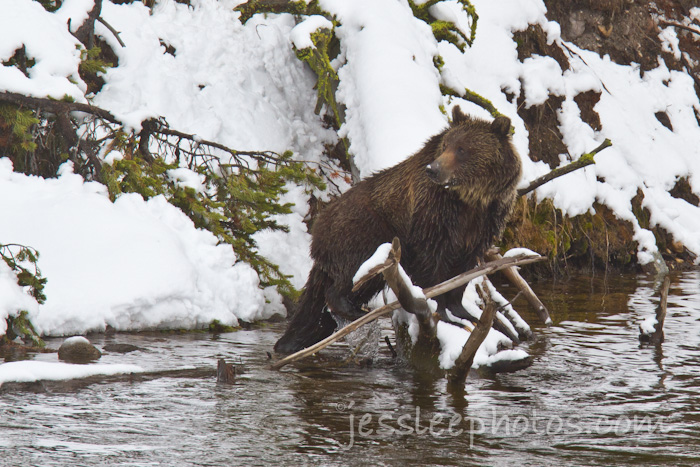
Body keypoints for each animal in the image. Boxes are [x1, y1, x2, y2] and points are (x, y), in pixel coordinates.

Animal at [274, 106, 522, 354]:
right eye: (446, 146)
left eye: (462, 149)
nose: (433, 169)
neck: (470, 199)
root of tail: (317, 230)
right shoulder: (433, 214)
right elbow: (433, 263)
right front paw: (440, 309)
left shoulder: (483, 224)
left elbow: (463, 271)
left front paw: (467, 314)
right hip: (365, 228)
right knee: (352, 271)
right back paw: (350, 308)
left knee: (319, 306)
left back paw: (292, 340)